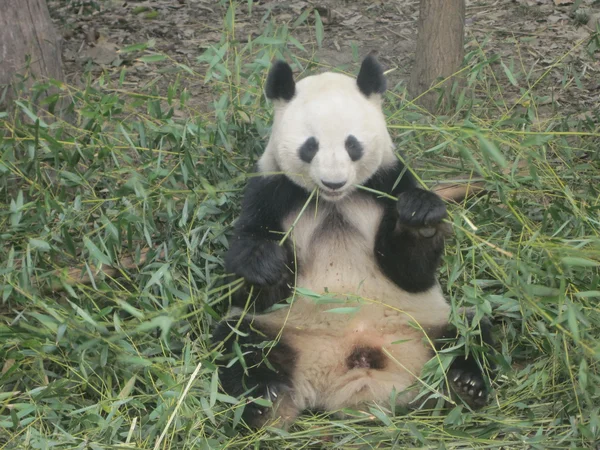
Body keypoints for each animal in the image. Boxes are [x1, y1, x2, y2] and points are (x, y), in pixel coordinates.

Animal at [213, 54, 494, 428]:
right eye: (310, 146)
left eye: (352, 144)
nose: (334, 181)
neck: (335, 202)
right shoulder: (271, 193)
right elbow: (250, 282)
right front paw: (266, 264)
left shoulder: (387, 182)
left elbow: (413, 272)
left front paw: (419, 219)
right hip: (282, 333)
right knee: (240, 344)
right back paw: (264, 401)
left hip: (428, 324)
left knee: (471, 330)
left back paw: (463, 383)